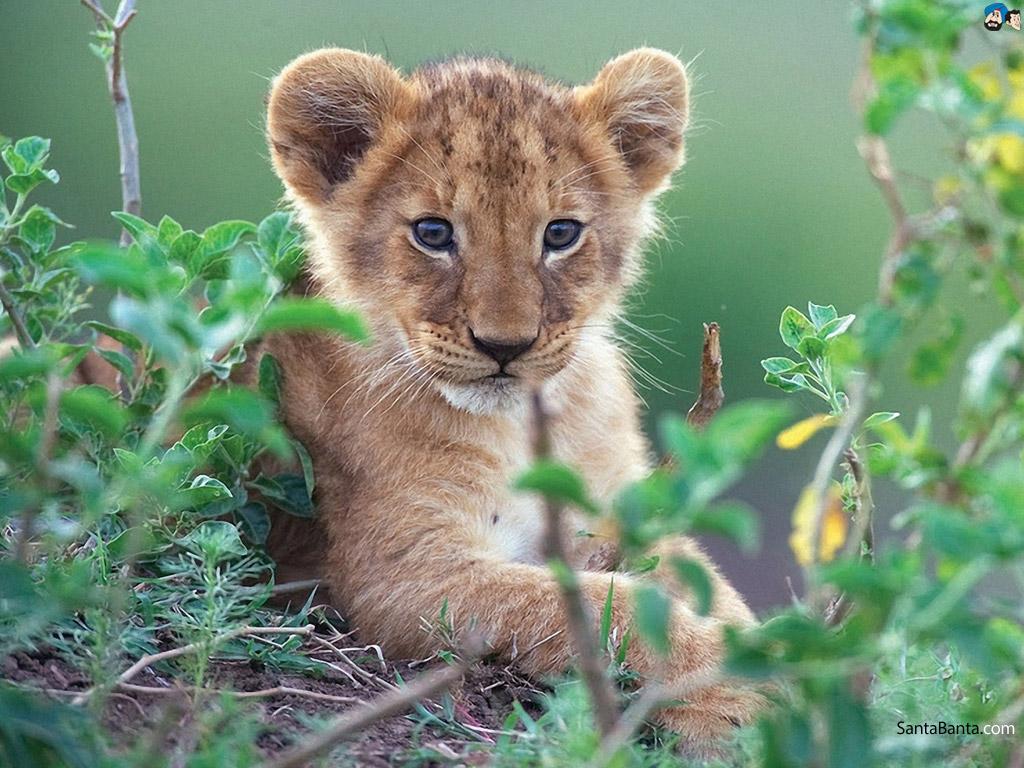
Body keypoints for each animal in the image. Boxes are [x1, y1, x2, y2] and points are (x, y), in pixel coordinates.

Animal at [260, 47, 764, 752]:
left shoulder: (611, 514)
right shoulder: (400, 579)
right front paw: (745, 686)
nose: (506, 344)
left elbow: (702, 581)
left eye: (561, 233)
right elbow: (596, 606)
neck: (521, 426)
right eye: (433, 232)